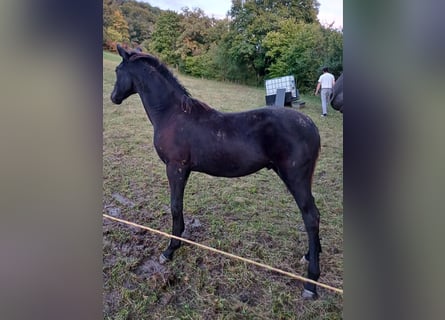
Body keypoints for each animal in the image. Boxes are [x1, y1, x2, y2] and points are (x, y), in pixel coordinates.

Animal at [109, 44, 320, 298]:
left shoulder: (175, 168)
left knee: (310, 216)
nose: (113, 98)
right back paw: (309, 256)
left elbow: (175, 206)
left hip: (295, 178)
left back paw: (311, 282)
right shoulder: (183, 170)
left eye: (117, 70)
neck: (172, 114)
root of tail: (311, 125)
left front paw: (170, 250)